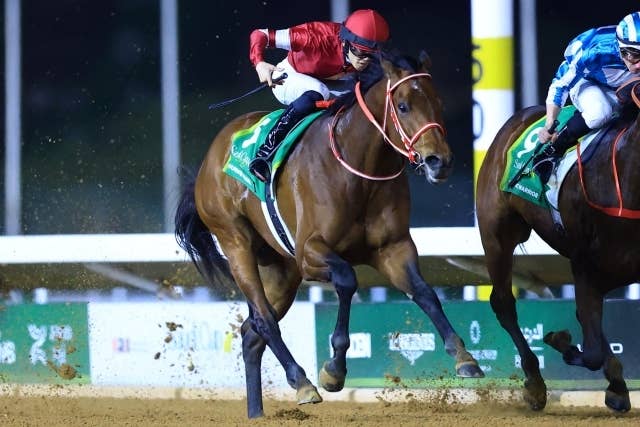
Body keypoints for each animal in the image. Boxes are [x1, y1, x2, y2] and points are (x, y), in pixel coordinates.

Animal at [175, 51, 484, 418]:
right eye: (404, 105)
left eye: (438, 102)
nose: (440, 161)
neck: (360, 169)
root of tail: (211, 156)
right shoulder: (310, 252)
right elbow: (347, 280)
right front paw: (334, 370)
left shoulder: (393, 249)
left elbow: (425, 292)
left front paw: (465, 357)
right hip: (236, 242)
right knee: (264, 320)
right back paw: (302, 383)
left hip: (280, 270)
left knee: (251, 334)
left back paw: (257, 412)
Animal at [475, 79, 640, 413]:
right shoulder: (584, 263)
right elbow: (590, 350)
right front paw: (559, 341)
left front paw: (616, 385)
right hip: (497, 233)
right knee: (503, 303)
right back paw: (535, 383)